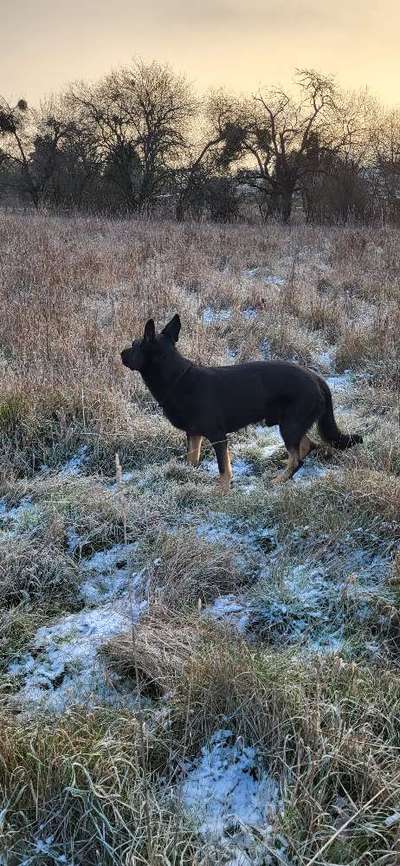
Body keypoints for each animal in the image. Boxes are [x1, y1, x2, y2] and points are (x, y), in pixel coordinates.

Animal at [121, 316, 362, 492]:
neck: (176, 378)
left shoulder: (218, 436)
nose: (121, 353)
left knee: (296, 458)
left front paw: (222, 490)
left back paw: (279, 480)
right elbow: (193, 459)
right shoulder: (194, 434)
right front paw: (189, 477)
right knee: (307, 446)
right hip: (291, 424)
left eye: (134, 345)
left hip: (290, 424)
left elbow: (223, 468)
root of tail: (317, 379)